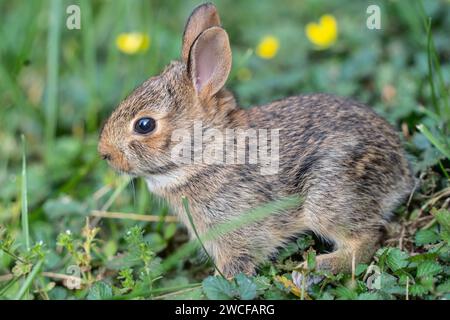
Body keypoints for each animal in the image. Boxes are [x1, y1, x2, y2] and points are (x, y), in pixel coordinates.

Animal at [98, 2, 414, 278]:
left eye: (144, 125)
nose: (104, 153)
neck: (206, 154)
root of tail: (401, 170)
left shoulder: (237, 232)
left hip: (329, 196)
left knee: (366, 239)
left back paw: (315, 268)